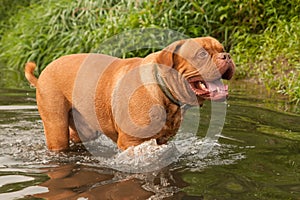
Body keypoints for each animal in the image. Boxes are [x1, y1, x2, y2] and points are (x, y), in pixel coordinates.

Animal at [25, 36, 234, 152]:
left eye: (222, 50)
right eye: (202, 54)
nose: (227, 56)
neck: (162, 89)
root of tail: (44, 72)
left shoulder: (162, 141)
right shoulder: (130, 143)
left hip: (84, 127)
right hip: (55, 126)